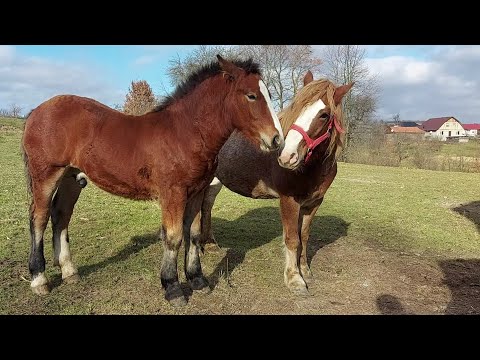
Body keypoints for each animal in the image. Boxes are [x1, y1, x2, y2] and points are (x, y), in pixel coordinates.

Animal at [22, 55, 284, 306]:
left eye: (269, 95)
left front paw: (197, 280)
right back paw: (39, 280)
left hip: (70, 177)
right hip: (46, 174)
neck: (185, 134)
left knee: (61, 216)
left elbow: (193, 234)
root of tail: (36, 111)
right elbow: (174, 236)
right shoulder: (173, 193)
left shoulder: (197, 192)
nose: (276, 140)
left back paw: (69, 271)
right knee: (39, 218)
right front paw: (173, 288)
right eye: (251, 95)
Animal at [199, 71, 352, 296]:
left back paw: (209, 244)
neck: (311, 168)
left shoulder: (313, 204)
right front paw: (294, 279)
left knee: (206, 206)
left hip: (215, 182)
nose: (287, 156)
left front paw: (305, 271)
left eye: (324, 115)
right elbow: (292, 239)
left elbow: (304, 237)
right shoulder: (289, 201)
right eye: (295, 105)